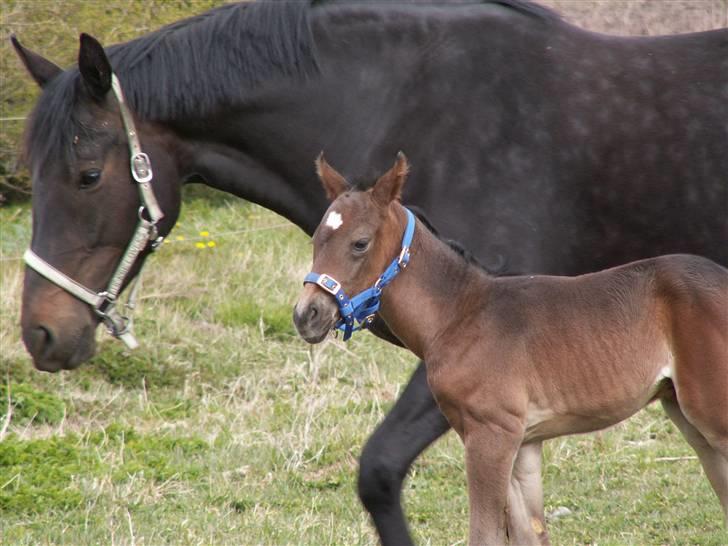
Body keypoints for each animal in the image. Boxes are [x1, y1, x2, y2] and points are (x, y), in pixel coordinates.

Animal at [294, 154, 728, 544]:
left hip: (712, 415)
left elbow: (484, 535)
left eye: (360, 243)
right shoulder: (523, 442)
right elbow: (529, 534)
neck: (460, 313)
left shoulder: (491, 433)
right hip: (687, 416)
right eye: (316, 239)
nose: (306, 314)